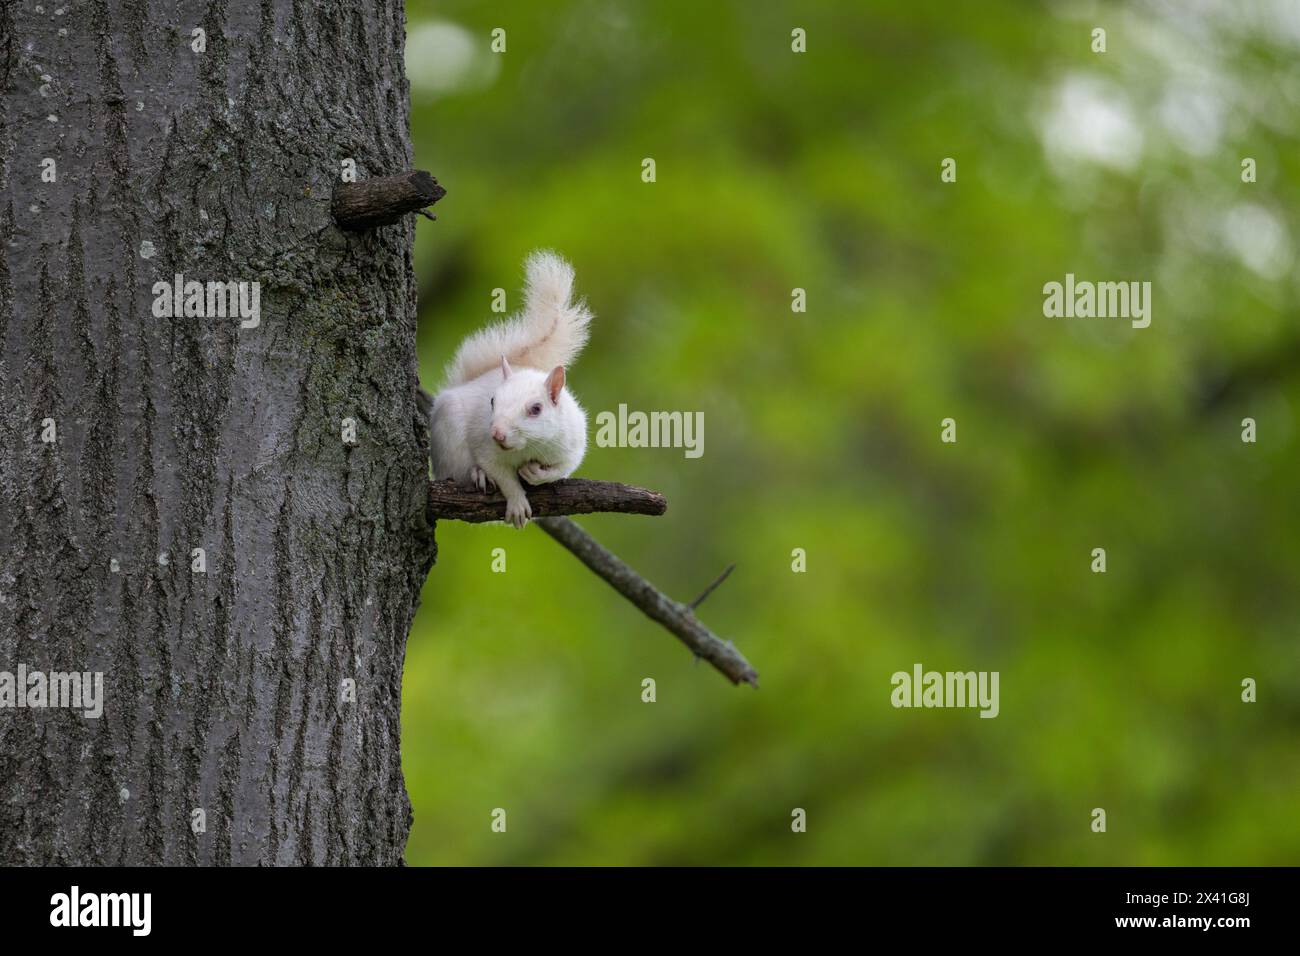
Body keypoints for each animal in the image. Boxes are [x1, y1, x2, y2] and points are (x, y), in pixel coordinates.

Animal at [423, 250, 593, 528]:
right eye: (493, 401)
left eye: (536, 409)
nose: (497, 433)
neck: (527, 448)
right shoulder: (485, 448)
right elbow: (502, 475)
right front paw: (516, 503)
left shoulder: (570, 446)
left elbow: (561, 469)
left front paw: (536, 474)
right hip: (449, 441)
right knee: (455, 472)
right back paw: (477, 475)